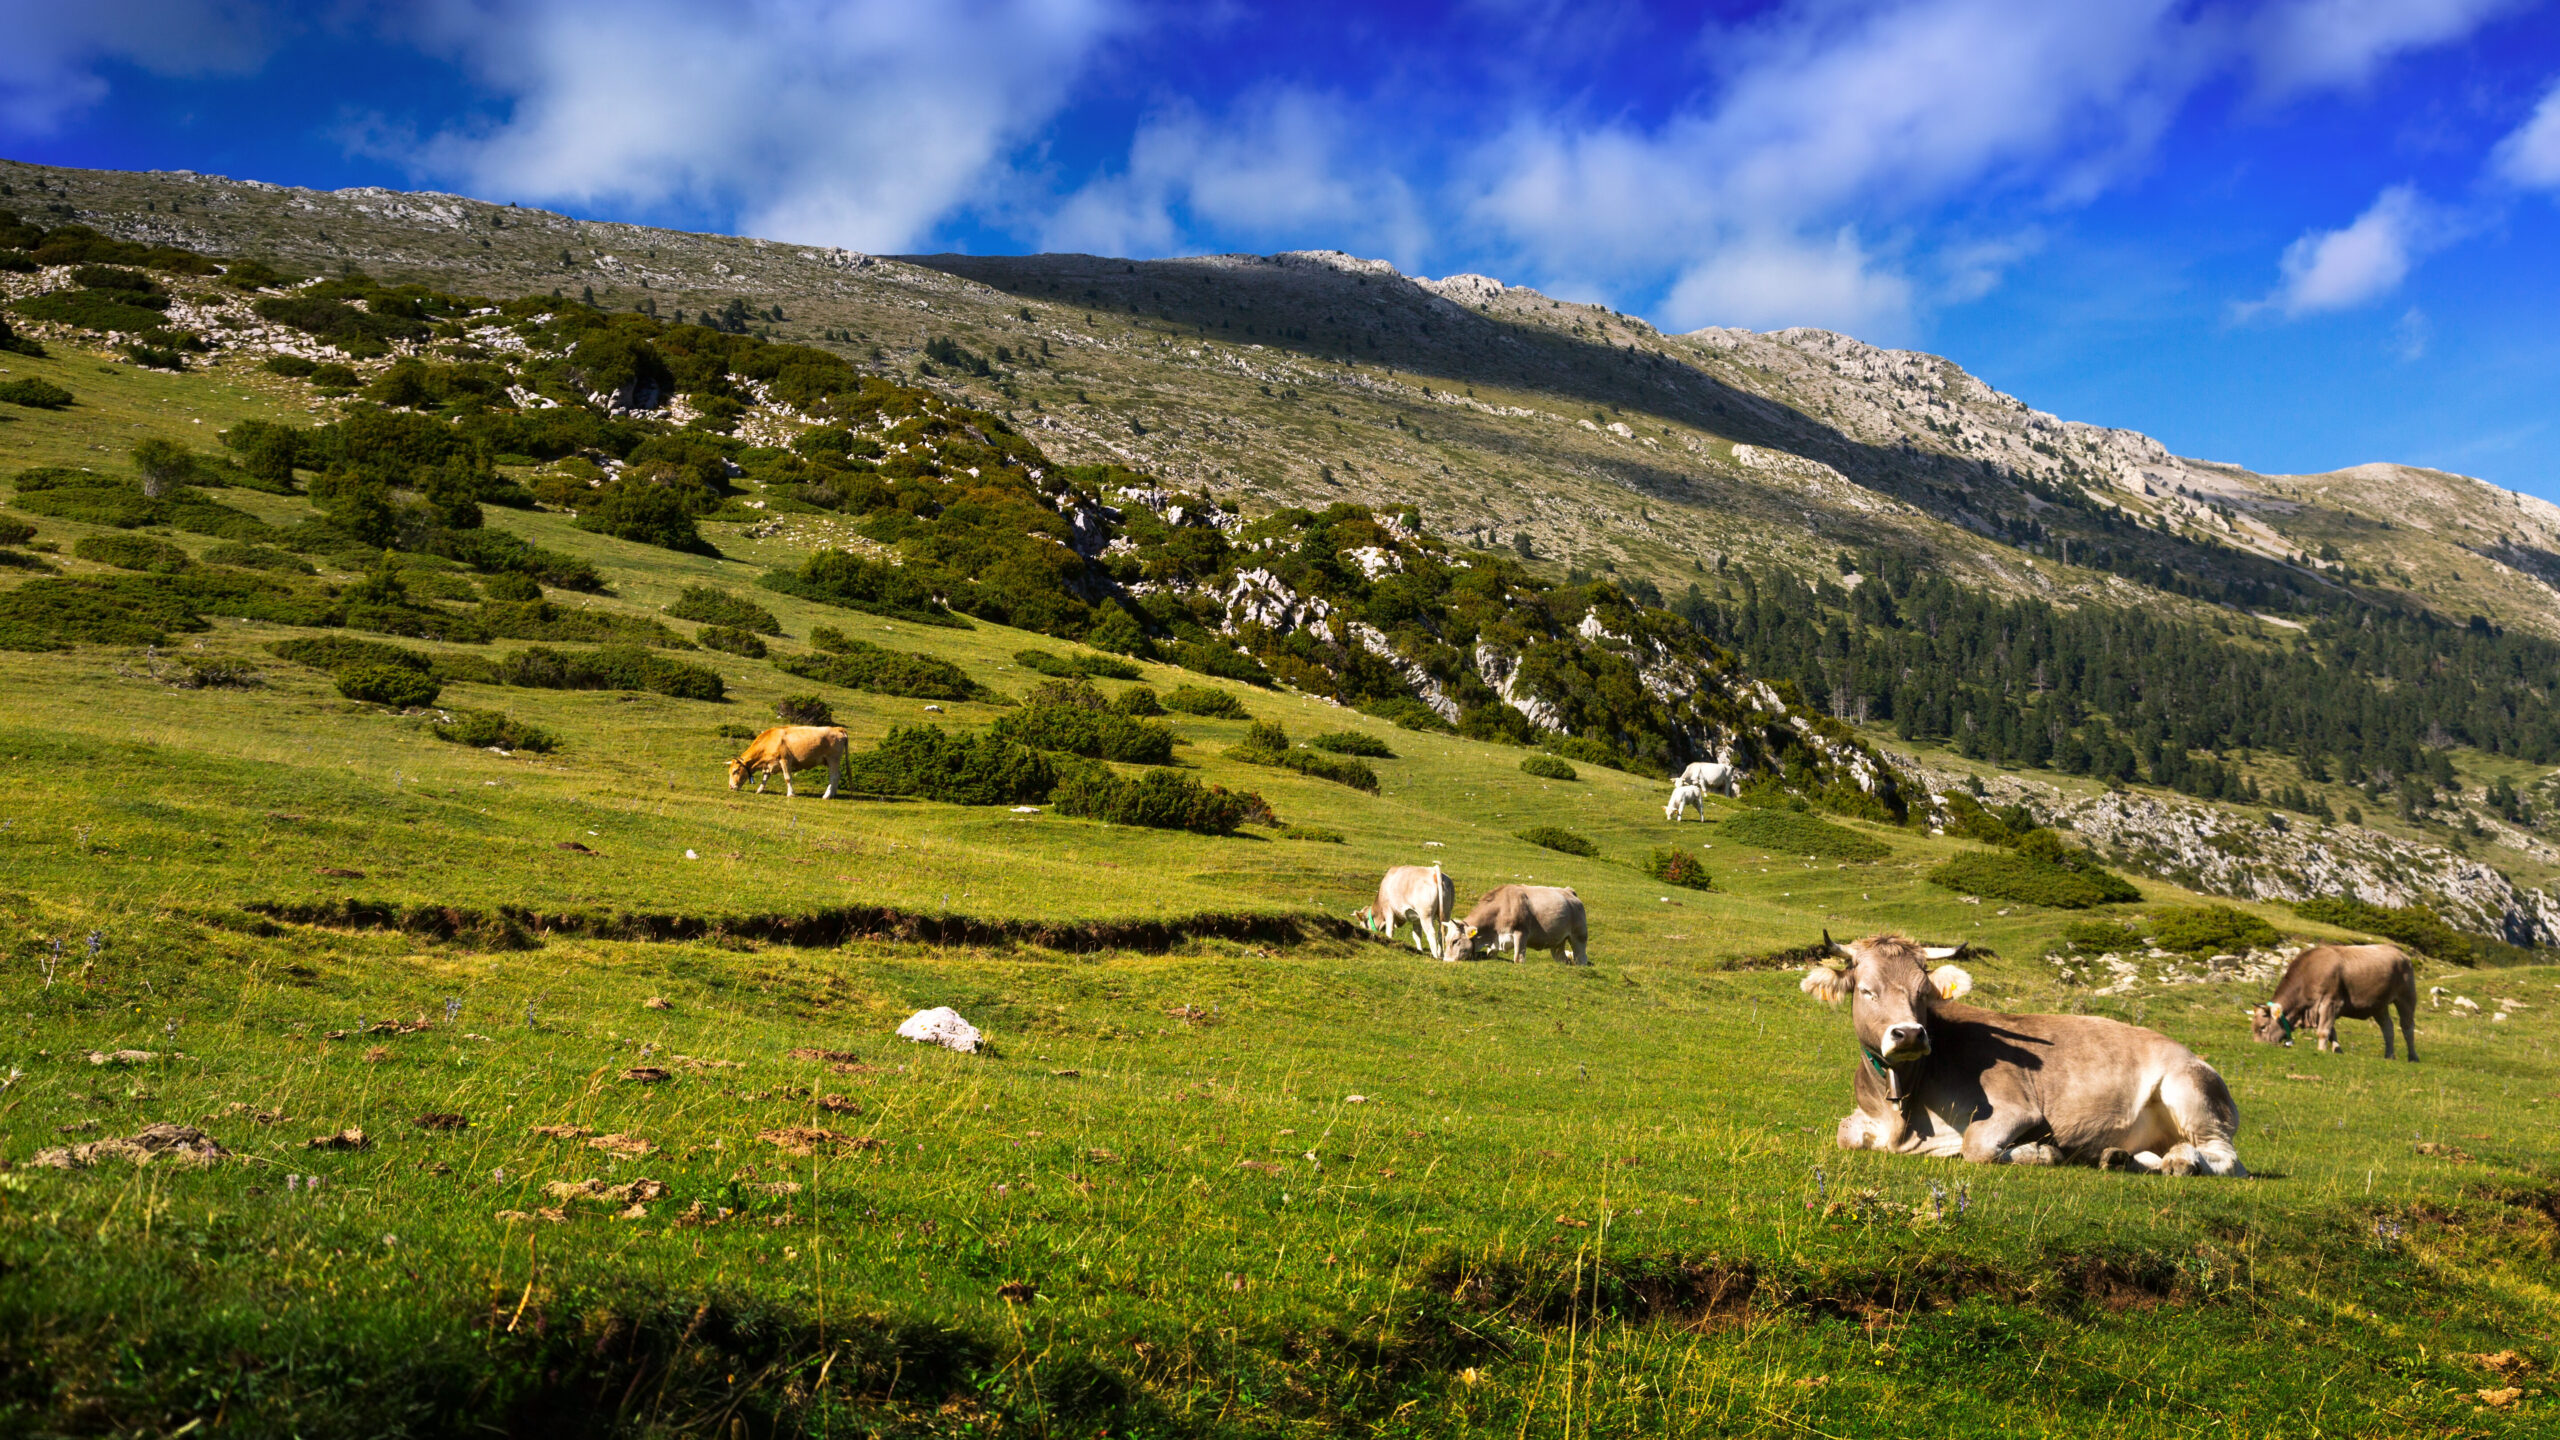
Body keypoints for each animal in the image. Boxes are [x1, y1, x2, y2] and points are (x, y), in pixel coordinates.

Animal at [1447, 885, 1588, 965]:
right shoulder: (1496, 941)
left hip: (1579, 936)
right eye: (1445, 940)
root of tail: (1569, 891)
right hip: (1558, 943)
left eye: (1455, 941)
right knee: (1562, 959)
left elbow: (1518, 959)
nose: (1446, 961)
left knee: (1581, 958)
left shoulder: (1521, 933)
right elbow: (1491, 955)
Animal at [1801, 932, 2247, 1176]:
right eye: (1866, 990)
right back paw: (2120, 1157)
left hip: (2188, 1092)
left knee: (2227, 1159)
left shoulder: (2017, 1109)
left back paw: (2183, 1161)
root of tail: (2195, 1056)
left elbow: (1976, 1147)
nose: (1909, 1033)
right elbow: (1845, 1132)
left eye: (1922, 991)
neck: (1904, 1113)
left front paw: (2041, 1152)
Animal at [2248, 943, 2418, 1061]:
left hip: (2406, 997)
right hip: (2379, 1005)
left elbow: (2324, 1031)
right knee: (2388, 1028)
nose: (2258, 1046)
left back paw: (2413, 1057)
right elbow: (2332, 1032)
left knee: (2407, 1027)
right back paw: (2389, 1055)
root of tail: (2400, 952)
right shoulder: (2320, 1009)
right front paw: (2337, 1050)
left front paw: (2321, 1050)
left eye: (2263, 1027)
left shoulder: (2331, 1003)